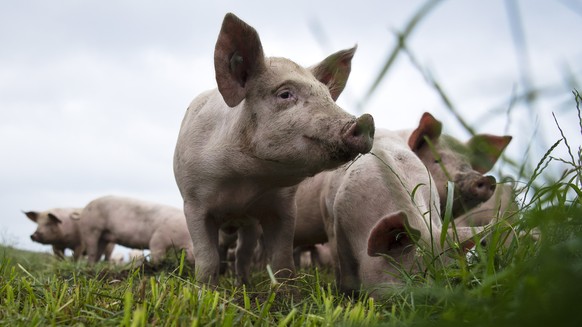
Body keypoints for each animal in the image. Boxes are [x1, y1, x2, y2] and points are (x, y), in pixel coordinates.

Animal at [171, 12, 376, 288]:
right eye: (285, 94)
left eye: (327, 95)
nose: (365, 120)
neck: (243, 183)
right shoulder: (193, 202)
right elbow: (207, 258)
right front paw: (205, 291)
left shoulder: (283, 206)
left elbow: (282, 260)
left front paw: (286, 293)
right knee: (225, 250)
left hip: (249, 226)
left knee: (244, 253)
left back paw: (244, 284)